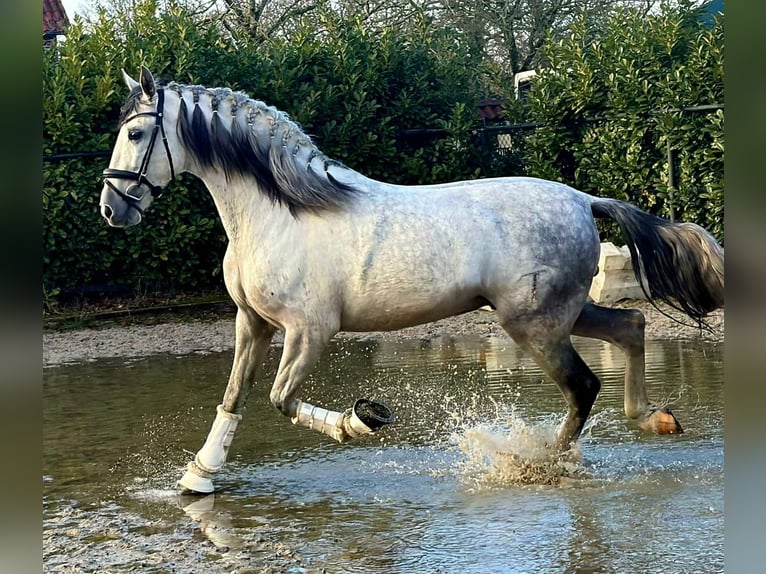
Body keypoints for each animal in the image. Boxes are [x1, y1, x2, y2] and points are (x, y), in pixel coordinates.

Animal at [100, 67, 724, 494]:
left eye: (136, 135)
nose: (112, 209)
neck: (282, 212)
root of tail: (581, 198)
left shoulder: (309, 331)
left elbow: (281, 399)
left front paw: (363, 420)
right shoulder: (252, 323)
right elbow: (234, 397)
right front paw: (197, 479)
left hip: (536, 325)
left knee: (584, 386)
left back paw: (536, 464)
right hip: (561, 312)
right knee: (632, 325)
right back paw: (653, 418)